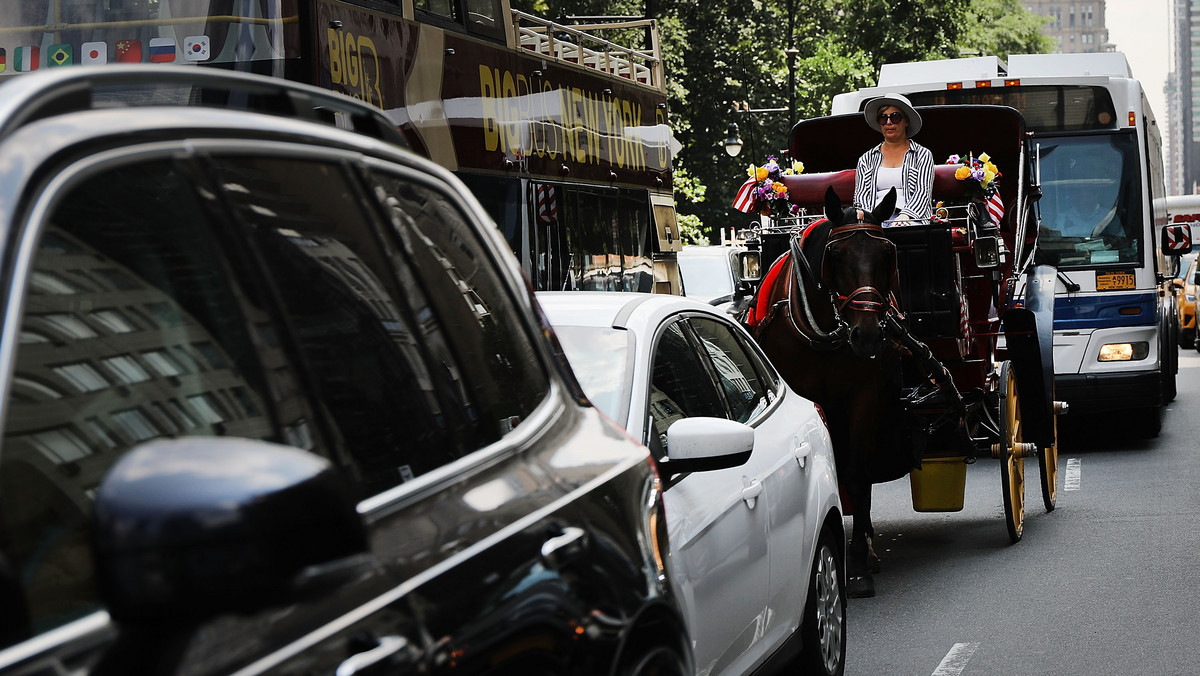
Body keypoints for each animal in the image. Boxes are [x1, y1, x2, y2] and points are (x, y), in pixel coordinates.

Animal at [753, 186, 912, 597]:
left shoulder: (864, 396)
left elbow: (855, 472)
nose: (868, 335)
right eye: (835, 256)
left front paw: (856, 565)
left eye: (887, 254)